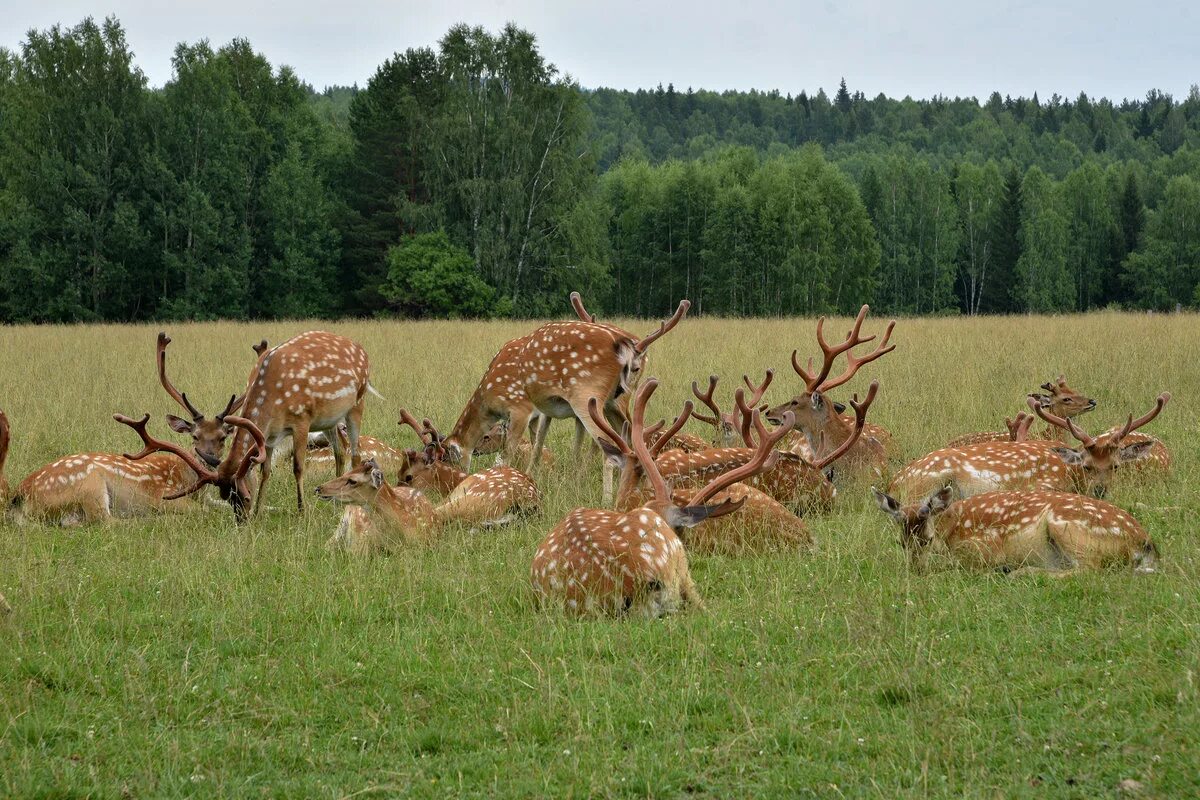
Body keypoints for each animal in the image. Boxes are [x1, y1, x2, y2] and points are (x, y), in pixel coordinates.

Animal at [873, 489, 1161, 575]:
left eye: (928, 539)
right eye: (900, 542)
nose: (916, 571)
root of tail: (1144, 542)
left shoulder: (982, 548)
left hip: (1067, 526)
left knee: (1089, 570)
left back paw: (1021, 572)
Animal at [892, 393, 1171, 503]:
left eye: (1115, 466)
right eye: (1087, 466)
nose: (1100, 491)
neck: (1070, 474)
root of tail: (895, 481)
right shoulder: (1042, 484)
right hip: (928, 482)